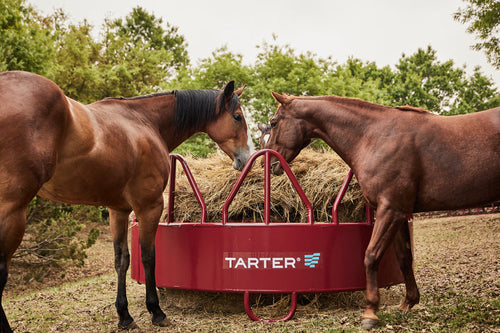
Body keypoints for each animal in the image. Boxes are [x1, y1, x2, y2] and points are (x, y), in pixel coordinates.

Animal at [0, 71, 250, 330]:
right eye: (237, 116)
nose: (246, 157)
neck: (144, 122)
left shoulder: (117, 210)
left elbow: (122, 259)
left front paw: (124, 315)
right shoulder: (149, 207)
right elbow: (149, 257)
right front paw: (156, 311)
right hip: (12, 211)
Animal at [264, 91, 498, 330]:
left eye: (273, 123)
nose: (269, 163)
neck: (374, 137)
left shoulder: (391, 210)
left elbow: (371, 255)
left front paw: (370, 312)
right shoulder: (399, 214)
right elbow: (404, 257)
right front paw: (408, 303)